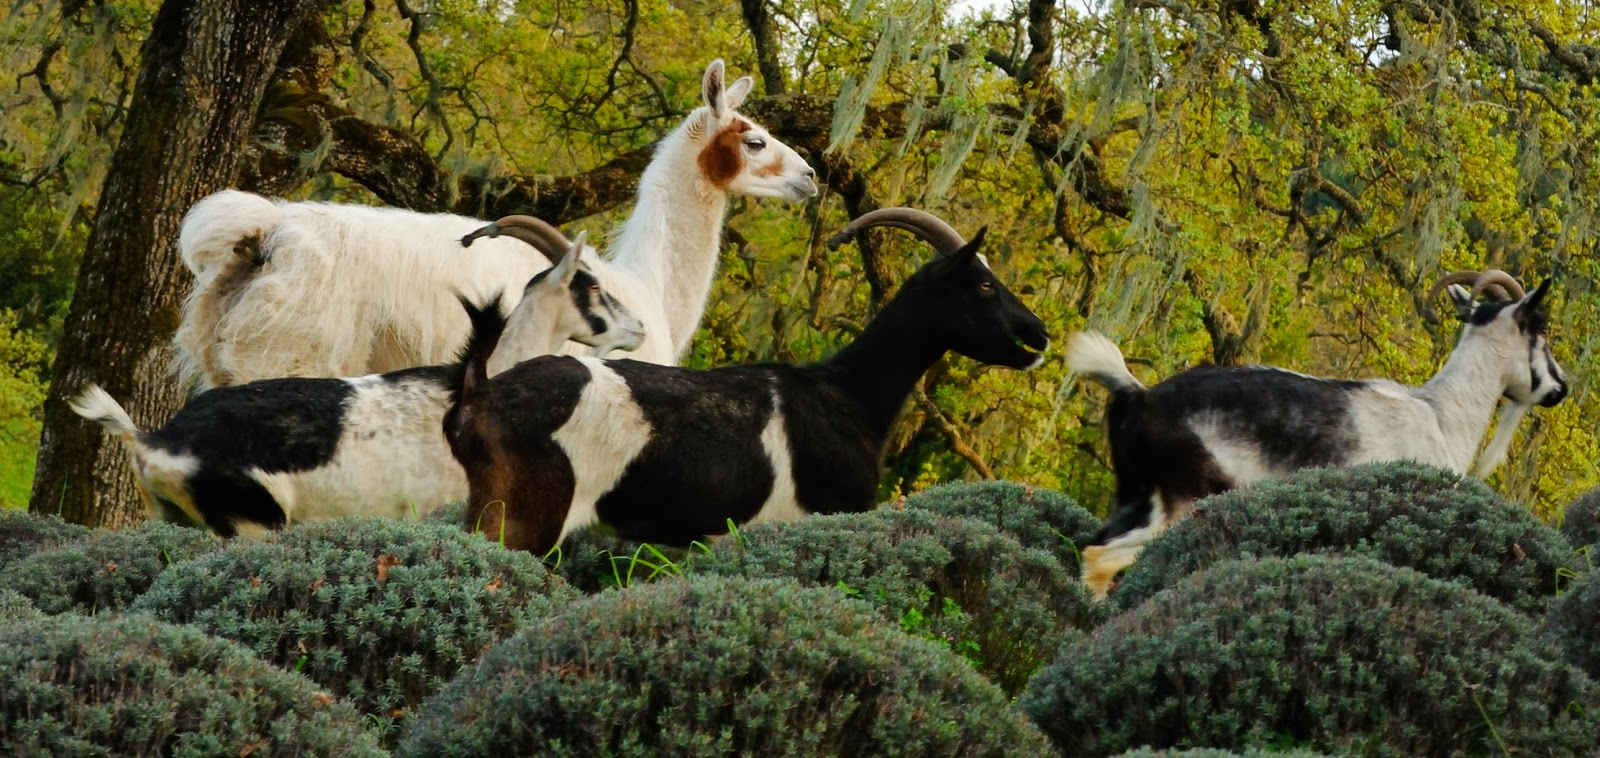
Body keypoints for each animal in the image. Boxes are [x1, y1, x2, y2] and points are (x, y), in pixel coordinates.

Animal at [1066, 270, 1568, 597]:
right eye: (1539, 331)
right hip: (1184, 505)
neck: (1441, 415)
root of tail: (1139, 393)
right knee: (1099, 560)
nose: (1560, 387)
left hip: (1133, 498)